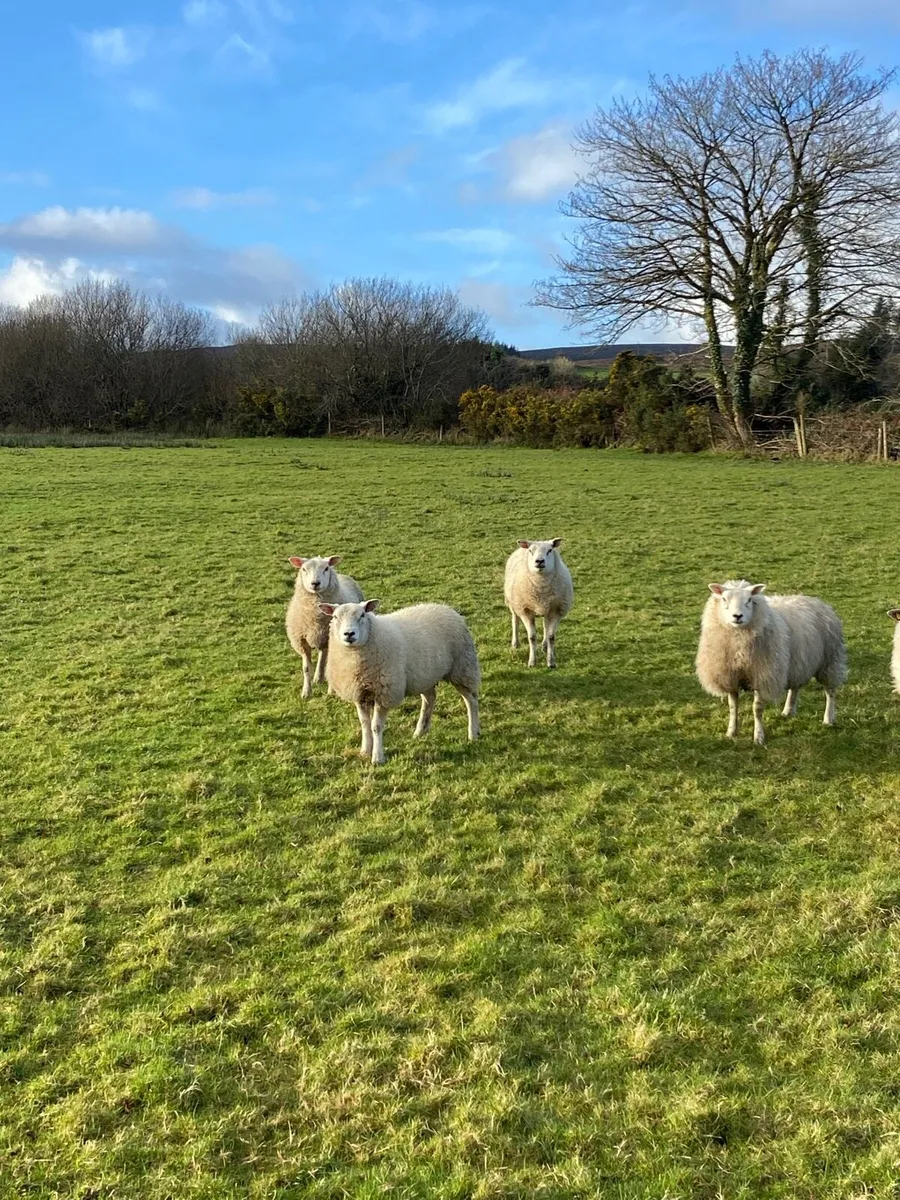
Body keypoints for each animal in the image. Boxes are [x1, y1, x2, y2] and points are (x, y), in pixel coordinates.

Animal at [286, 555, 364, 698]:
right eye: (304, 569)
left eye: (326, 568)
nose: (315, 583)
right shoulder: (302, 640)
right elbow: (306, 668)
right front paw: (306, 692)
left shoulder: (330, 639)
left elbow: (328, 664)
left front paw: (331, 691)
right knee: (322, 655)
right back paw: (318, 678)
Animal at [319, 599, 481, 765]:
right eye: (335, 617)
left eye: (362, 615)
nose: (349, 634)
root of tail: (445, 607)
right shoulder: (360, 694)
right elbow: (364, 724)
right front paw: (365, 751)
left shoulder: (384, 693)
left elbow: (376, 726)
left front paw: (377, 757)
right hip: (425, 676)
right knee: (430, 699)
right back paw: (420, 731)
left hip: (462, 668)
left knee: (471, 701)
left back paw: (473, 734)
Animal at [504, 538, 573, 667]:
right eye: (531, 551)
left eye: (550, 550)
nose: (539, 561)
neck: (541, 588)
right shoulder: (525, 611)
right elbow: (532, 637)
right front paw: (532, 661)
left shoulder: (556, 611)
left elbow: (551, 637)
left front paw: (551, 662)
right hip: (513, 603)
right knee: (515, 621)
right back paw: (515, 643)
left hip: (547, 610)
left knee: (545, 625)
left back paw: (545, 646)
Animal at [696, 579, 847, 745]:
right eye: (724, 599)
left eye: (749, 600)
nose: (737, 616)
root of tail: (816, 601)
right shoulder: (730, 677)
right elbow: (733, 707)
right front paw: (731, 732)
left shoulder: (763, 676)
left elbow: (757, 709)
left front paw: (758, 737)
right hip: (797, 662)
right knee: (795, 687)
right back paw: (788, 711)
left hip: (829, 661)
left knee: (830, 692)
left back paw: (828, 718)